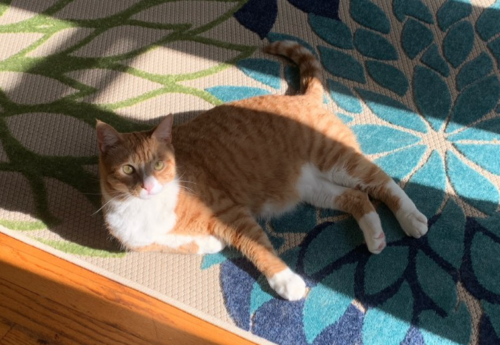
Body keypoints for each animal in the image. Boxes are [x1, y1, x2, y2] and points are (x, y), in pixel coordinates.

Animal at [96, 39, 426, 298]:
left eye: (159, 164)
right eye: (128, 169)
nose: (148, 186)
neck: (147, 210)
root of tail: (302, 98)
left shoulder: (231, 212)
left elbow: (257, 247)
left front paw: (285, 281)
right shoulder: (147, 242)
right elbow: (186, 244)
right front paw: (210, 242)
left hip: (336, 160)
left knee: (382, 182)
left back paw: (412, 219)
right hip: (315, 188)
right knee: (359, 197)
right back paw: (375, 235)